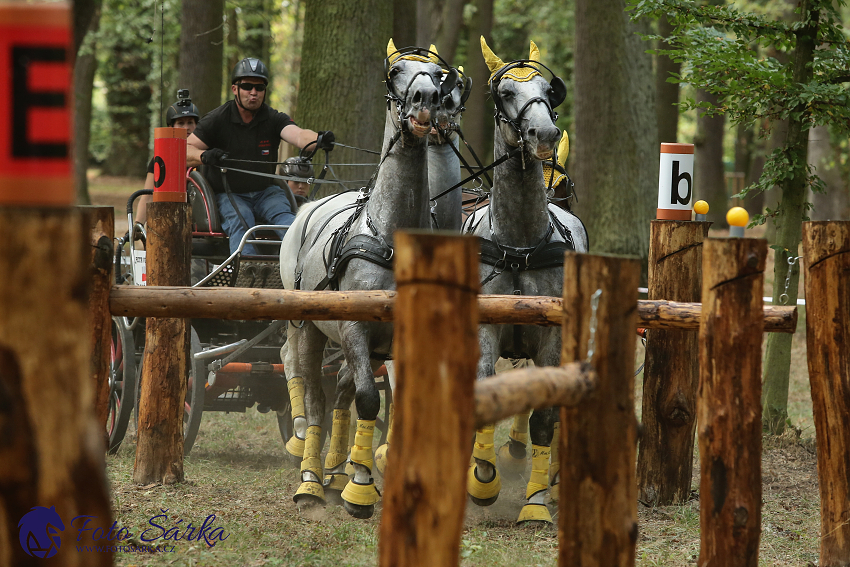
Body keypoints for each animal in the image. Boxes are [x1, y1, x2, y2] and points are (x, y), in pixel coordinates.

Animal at [278, 38, 454, 520]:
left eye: (439, 75)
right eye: (396, 72)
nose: (427, 99)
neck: (391, 238)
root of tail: (310, 206)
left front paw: (367, 474)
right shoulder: (356, 328)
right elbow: (370, 401)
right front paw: (360, 490)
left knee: (341, 392)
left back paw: (337, 471)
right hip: (310, 327)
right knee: (315, 396)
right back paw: (311, 478)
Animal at [460, 37, 588, 524]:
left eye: (548, 92)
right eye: (505, 93)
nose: (545, 135)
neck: (520, 245)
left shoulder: (551, 338)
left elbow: (543, 418)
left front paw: (535, 504)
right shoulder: (483, 329)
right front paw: (482, 481)